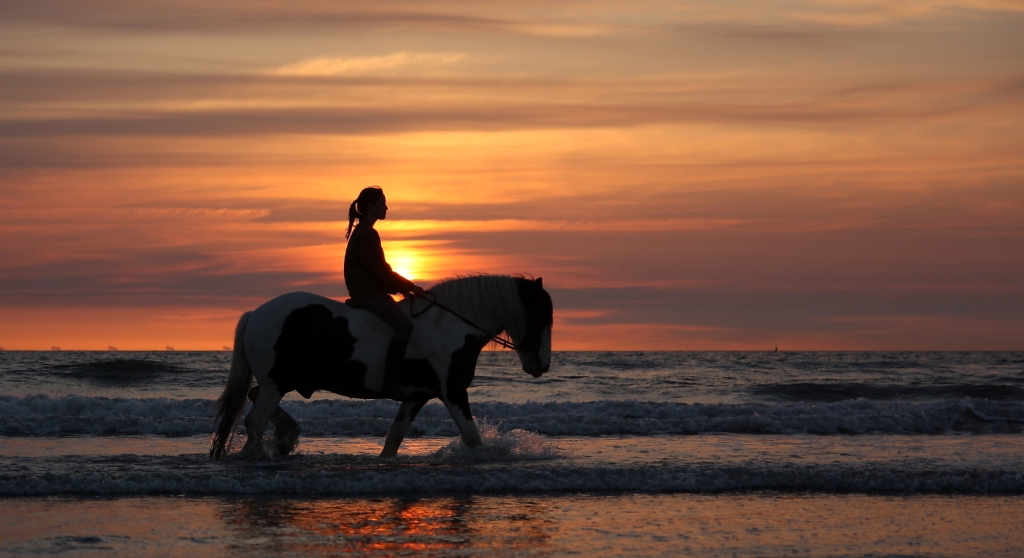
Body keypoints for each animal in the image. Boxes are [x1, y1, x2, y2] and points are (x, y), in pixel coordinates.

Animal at [206, 272, 552, 458]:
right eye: (542, 315)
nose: (542, 365)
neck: (449, 325)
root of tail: (255, 314)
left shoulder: (416, 396)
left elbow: (393, 439)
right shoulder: (453, 392)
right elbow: (472, 438)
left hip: (277, 382)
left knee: (254, 402)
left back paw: (284, 438)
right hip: (275, 383)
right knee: (255, 420)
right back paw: (260, 451)